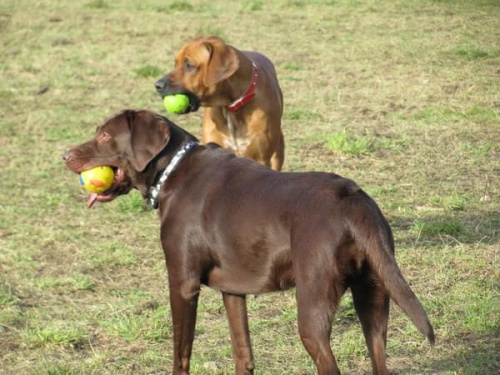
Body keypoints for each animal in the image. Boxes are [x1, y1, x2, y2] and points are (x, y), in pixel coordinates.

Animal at [65, 110, 434, 374]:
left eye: (104, 135)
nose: (64, 155)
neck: (172, 171)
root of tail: (352, 197)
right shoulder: (233, 290)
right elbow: (243, 353)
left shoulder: (182, 283)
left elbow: (181, 354)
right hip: (374, 297)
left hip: (313, 308)